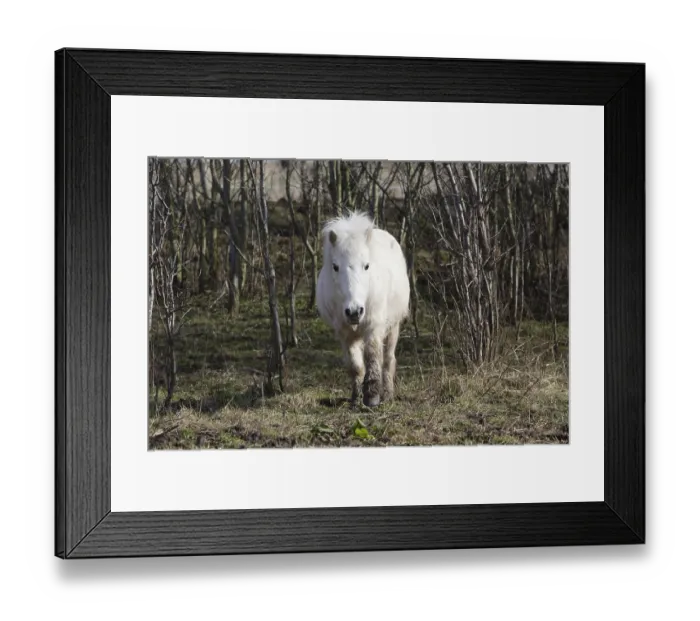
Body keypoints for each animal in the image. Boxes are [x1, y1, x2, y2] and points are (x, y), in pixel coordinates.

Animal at [316, 212, 410, 407]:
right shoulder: (345, 334)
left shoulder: (373, 328)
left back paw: (387, 394)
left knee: (388, 360)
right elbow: (356, 366)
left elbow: (373, 358)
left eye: (366, 265)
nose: (354, 312)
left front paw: (372, 397)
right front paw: (356, 398)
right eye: (335, 266)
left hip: (393, 327)